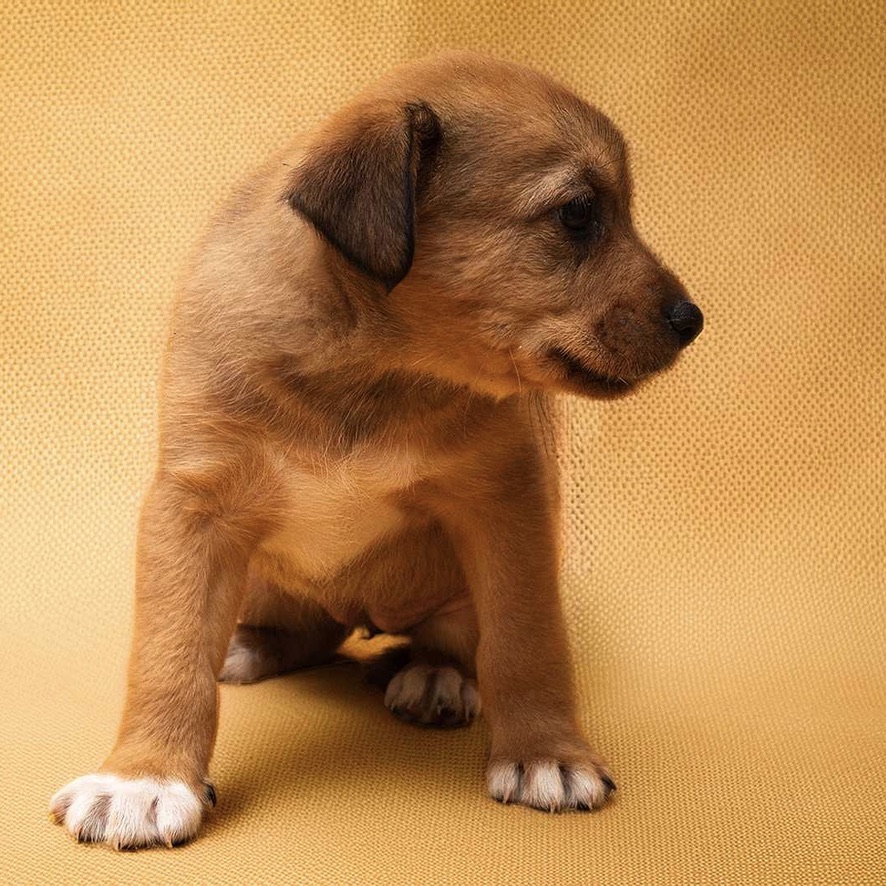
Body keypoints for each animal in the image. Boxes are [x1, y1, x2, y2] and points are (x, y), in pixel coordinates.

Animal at [50, 50, 708, 852]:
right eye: (578, 214)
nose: (691, 320)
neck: (373, 368)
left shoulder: (507, 505)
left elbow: (527, 643)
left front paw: (546, 752)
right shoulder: (193, 507)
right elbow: (168, 654)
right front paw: (143, 779)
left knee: (451, 643)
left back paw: (432, 675)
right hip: (263, 579)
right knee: (303, 633)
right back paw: (247, 646)